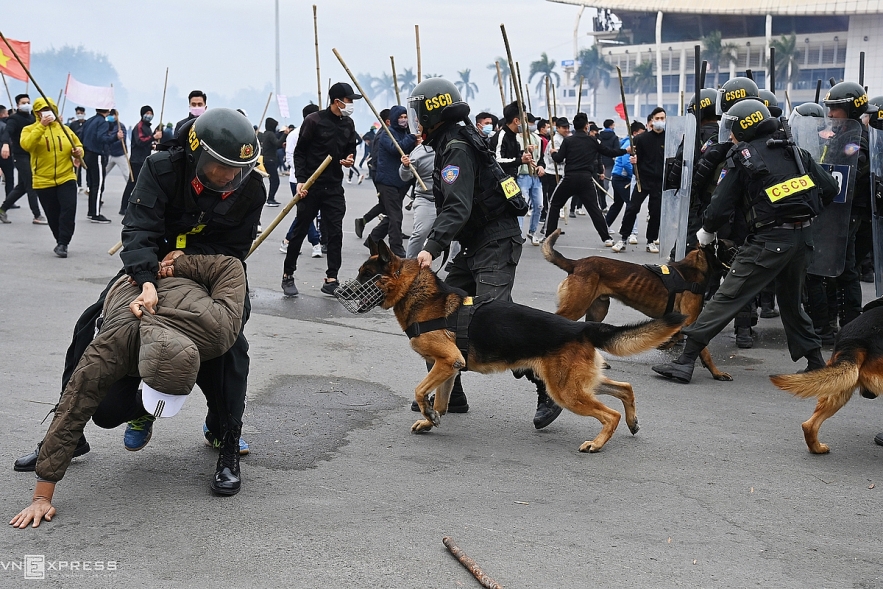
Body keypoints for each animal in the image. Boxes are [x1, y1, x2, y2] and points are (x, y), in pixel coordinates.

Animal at [544, 227, 736, 378]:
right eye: (731, 248)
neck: (696, 266)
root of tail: (576, 264)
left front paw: (667, 343)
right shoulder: (691, 320)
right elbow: (704, 349)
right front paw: (716, 372)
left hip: (597, 310)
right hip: (576, 307)